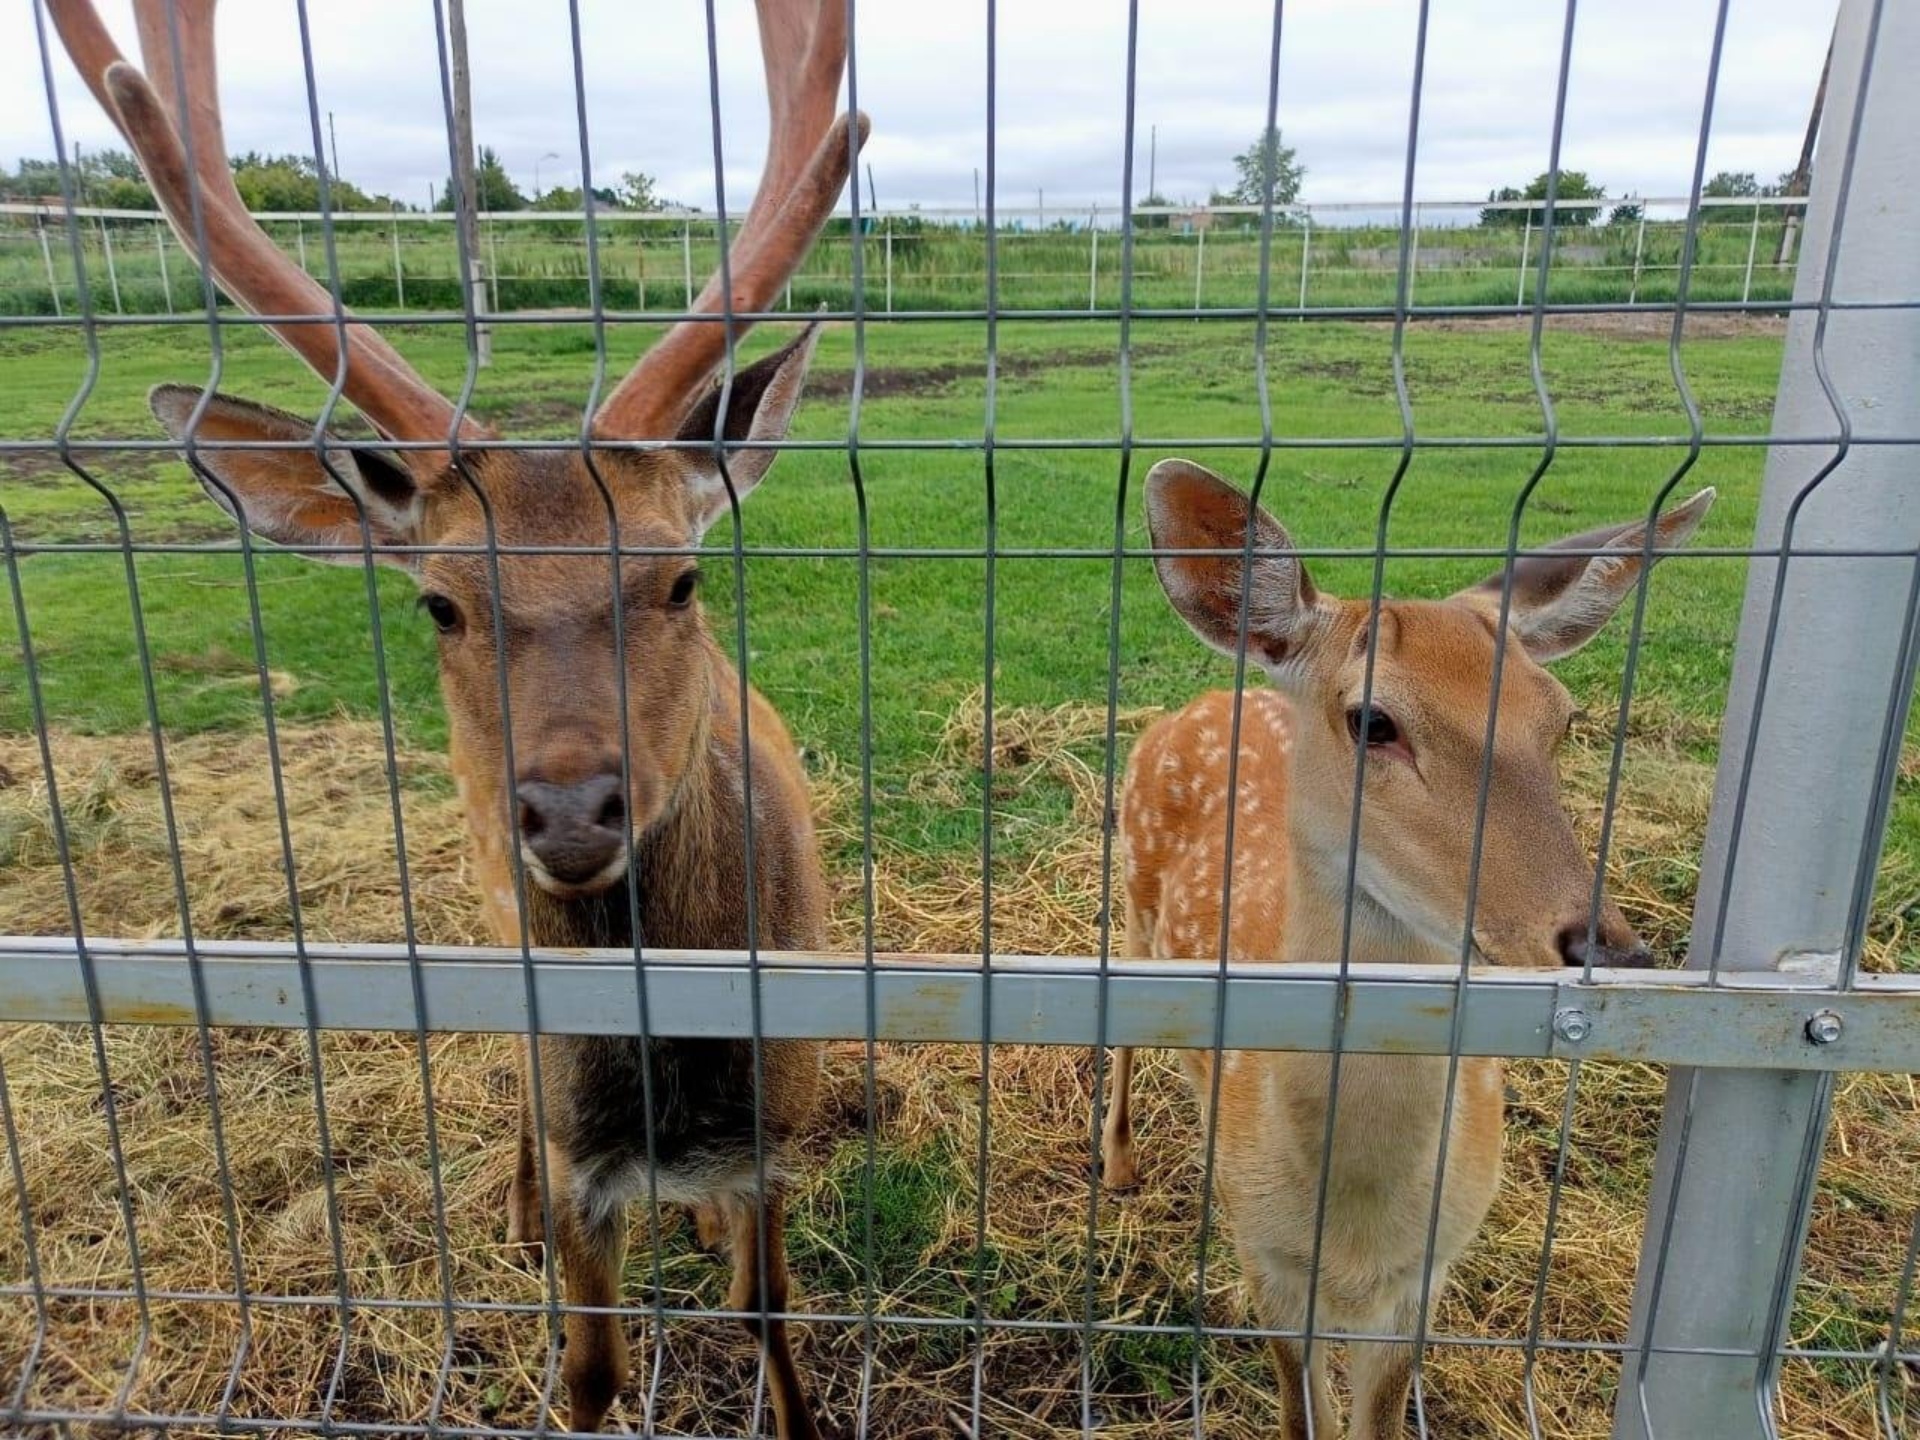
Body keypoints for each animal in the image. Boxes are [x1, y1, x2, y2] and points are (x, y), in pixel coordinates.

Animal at [50, 0, 871, 1436]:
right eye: (438, 601)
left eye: (681, 576)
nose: (569, 809)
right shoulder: (581, 1131)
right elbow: (589, 1368)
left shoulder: (783, 1112)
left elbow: (769, 1314)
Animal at [1105, 462, 1720, 1440]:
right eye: (1373, 721)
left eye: (1563, 720)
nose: (1614, 951)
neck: (1355, 1222)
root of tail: (1214, 696)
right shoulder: (1265, 1258)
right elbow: (1302, 1414)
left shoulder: (1424, 1276)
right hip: (1129, 887)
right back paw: (1120, 1165)